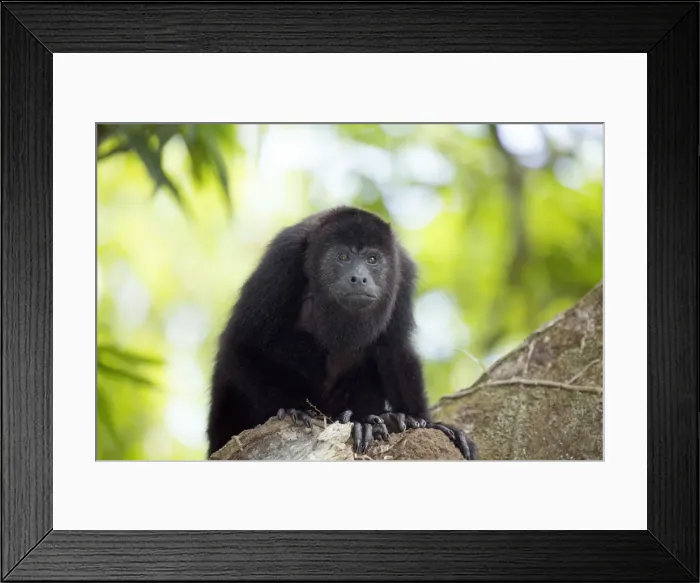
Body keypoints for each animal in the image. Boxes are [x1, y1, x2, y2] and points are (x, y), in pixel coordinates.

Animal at [206, 206, 477, 460]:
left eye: (372, 259)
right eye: (343, 256)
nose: (359, 278)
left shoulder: (403, 272)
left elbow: (396, 348)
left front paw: (423, 422)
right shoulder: (282, 259)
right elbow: (242, 343)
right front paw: (294, 408)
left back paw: (378, 420)